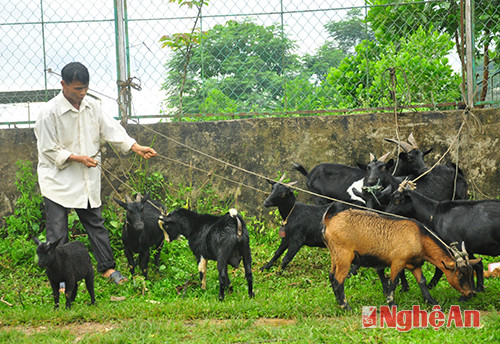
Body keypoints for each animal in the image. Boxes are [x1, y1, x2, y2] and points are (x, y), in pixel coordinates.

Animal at [322, 208, 478, 310]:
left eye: (471, 274)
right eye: (459, 275)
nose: (470, 293)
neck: (419, 237)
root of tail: (328, 221)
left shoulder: (415, 265)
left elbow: (422, 281)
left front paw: (432, 301)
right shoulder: (397, 261)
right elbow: (393, 281)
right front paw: (392, 304)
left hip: (334, 255)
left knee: (331, 276)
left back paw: (339, 302)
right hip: (344, 255)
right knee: (338, 279)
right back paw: (345, 306)